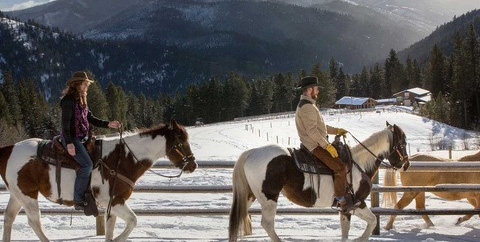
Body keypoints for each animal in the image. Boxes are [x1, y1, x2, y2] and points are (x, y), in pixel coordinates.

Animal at [0, 119, 197, 242]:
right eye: (181, 142)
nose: (193, 165)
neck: (123, 159)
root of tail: (9, 149)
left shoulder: (112, 203)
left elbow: (111, 227)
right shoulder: (115, 201)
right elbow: (133, 220)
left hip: (17, 195)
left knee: (9, 217)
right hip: (28, 195)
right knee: (34, 221)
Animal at [229, 123, 408, 242]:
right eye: (403, 143)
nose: (406, 165)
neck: (359, 164)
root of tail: (251, 153)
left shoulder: (347, 208)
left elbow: (350, 229)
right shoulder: (356, 203)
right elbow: (371, 222)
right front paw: (360, 238)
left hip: (250, 195)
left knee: (239, 218)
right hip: (269, 198)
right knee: (267, 224)